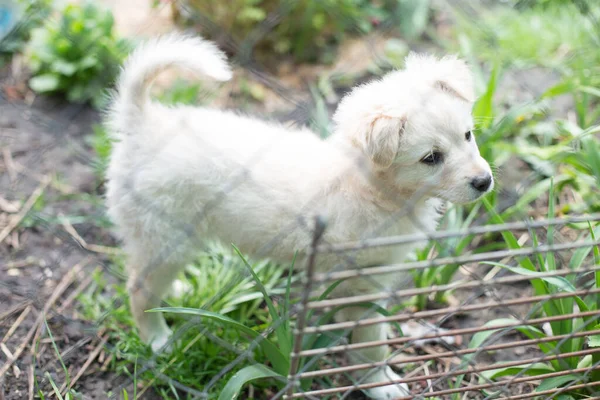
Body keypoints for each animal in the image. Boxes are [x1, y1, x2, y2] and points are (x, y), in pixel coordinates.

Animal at [105, 35, 494, 400]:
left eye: (467, 135)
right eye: (431, 158)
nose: (485, 182)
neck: (370, 186)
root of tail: (146, 124)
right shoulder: (359, 287)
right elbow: (370, 344)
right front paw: (379, 384)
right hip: (164, 233)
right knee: (138, 288)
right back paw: (158, 339)